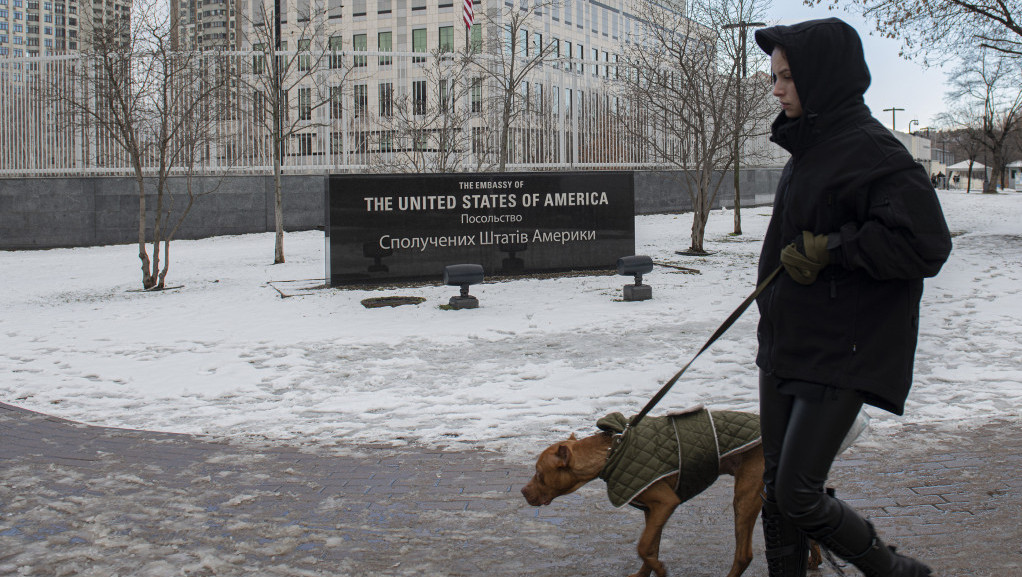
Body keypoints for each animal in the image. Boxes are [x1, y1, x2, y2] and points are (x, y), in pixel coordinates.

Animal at [519, 404, 821, 575]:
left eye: (539, 473)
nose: (522, 491)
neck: (610, 451)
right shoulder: (652, 510)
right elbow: (650, 548)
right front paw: (646, 574)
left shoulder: (665, 502)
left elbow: (643, 547)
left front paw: (660, 570)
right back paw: (814, 559)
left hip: (745, 497)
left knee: (744, 555)